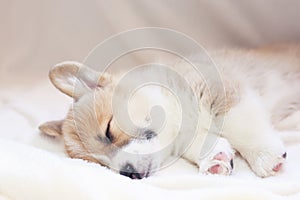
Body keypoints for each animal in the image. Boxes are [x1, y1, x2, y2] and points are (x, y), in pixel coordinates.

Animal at [39, 45, 300, 180]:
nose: (128, 173)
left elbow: (241, 126)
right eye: (97, 163)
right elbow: (199, 143)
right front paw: (214, 158)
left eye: (108, 131)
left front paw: (264, 156)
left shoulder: (220, 90)